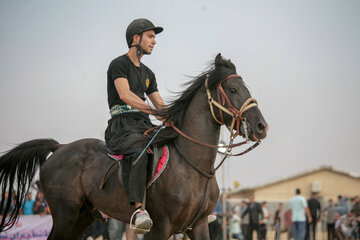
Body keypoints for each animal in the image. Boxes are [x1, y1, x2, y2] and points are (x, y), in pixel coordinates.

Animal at [0, 53, 268, 239]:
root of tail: (60, 147)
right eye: (232, 89)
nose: (261, 126)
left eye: (246, 88)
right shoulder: (162, 226)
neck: (192, 166)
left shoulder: (199, 226)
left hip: (82, 216)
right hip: (66, 214)